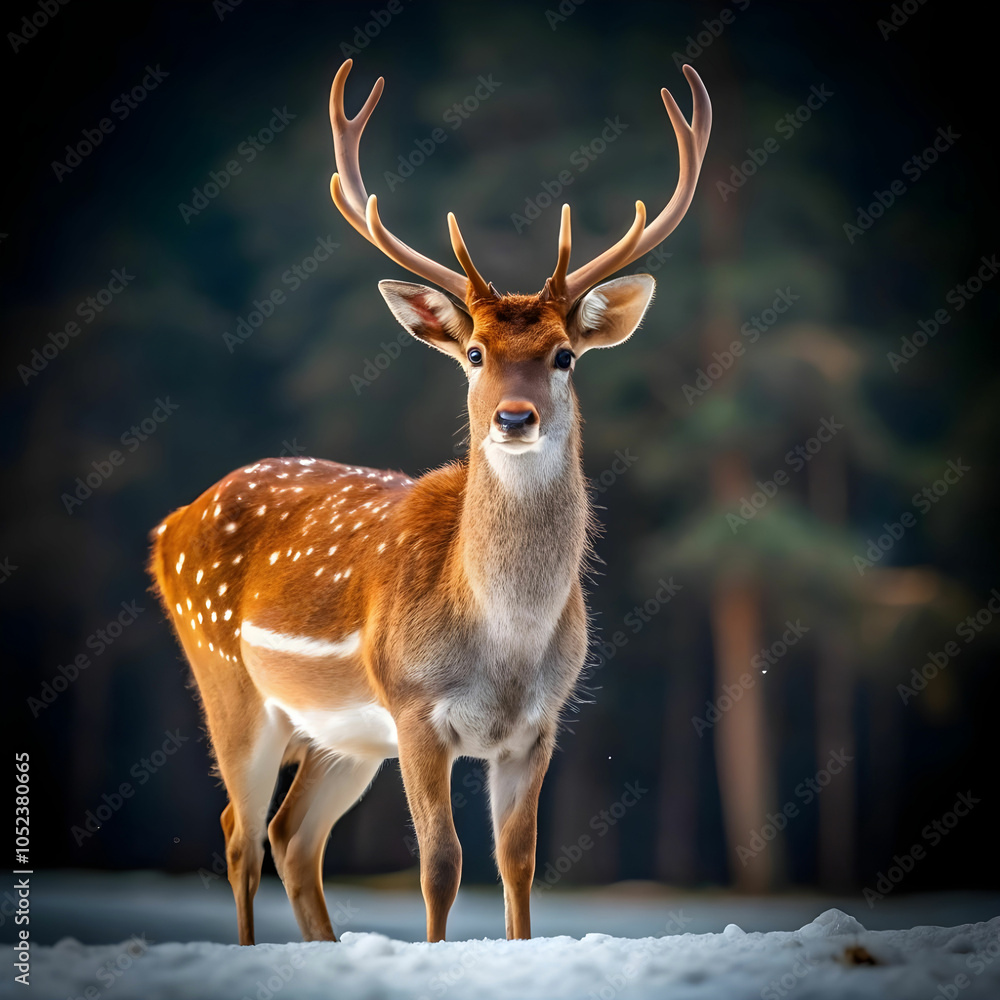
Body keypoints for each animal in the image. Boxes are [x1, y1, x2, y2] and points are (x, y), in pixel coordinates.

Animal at [148, 58, 710, 946]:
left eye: (564, 355)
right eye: (475, 352)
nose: (514, 418)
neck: (504, 646)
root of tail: (167, 525)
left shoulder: (540, 724)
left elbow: (518, 866)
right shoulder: (414, 708)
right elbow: (440, 865)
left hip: (341, 736)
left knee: (292, 836)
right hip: (226, 677)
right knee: (241, 832)